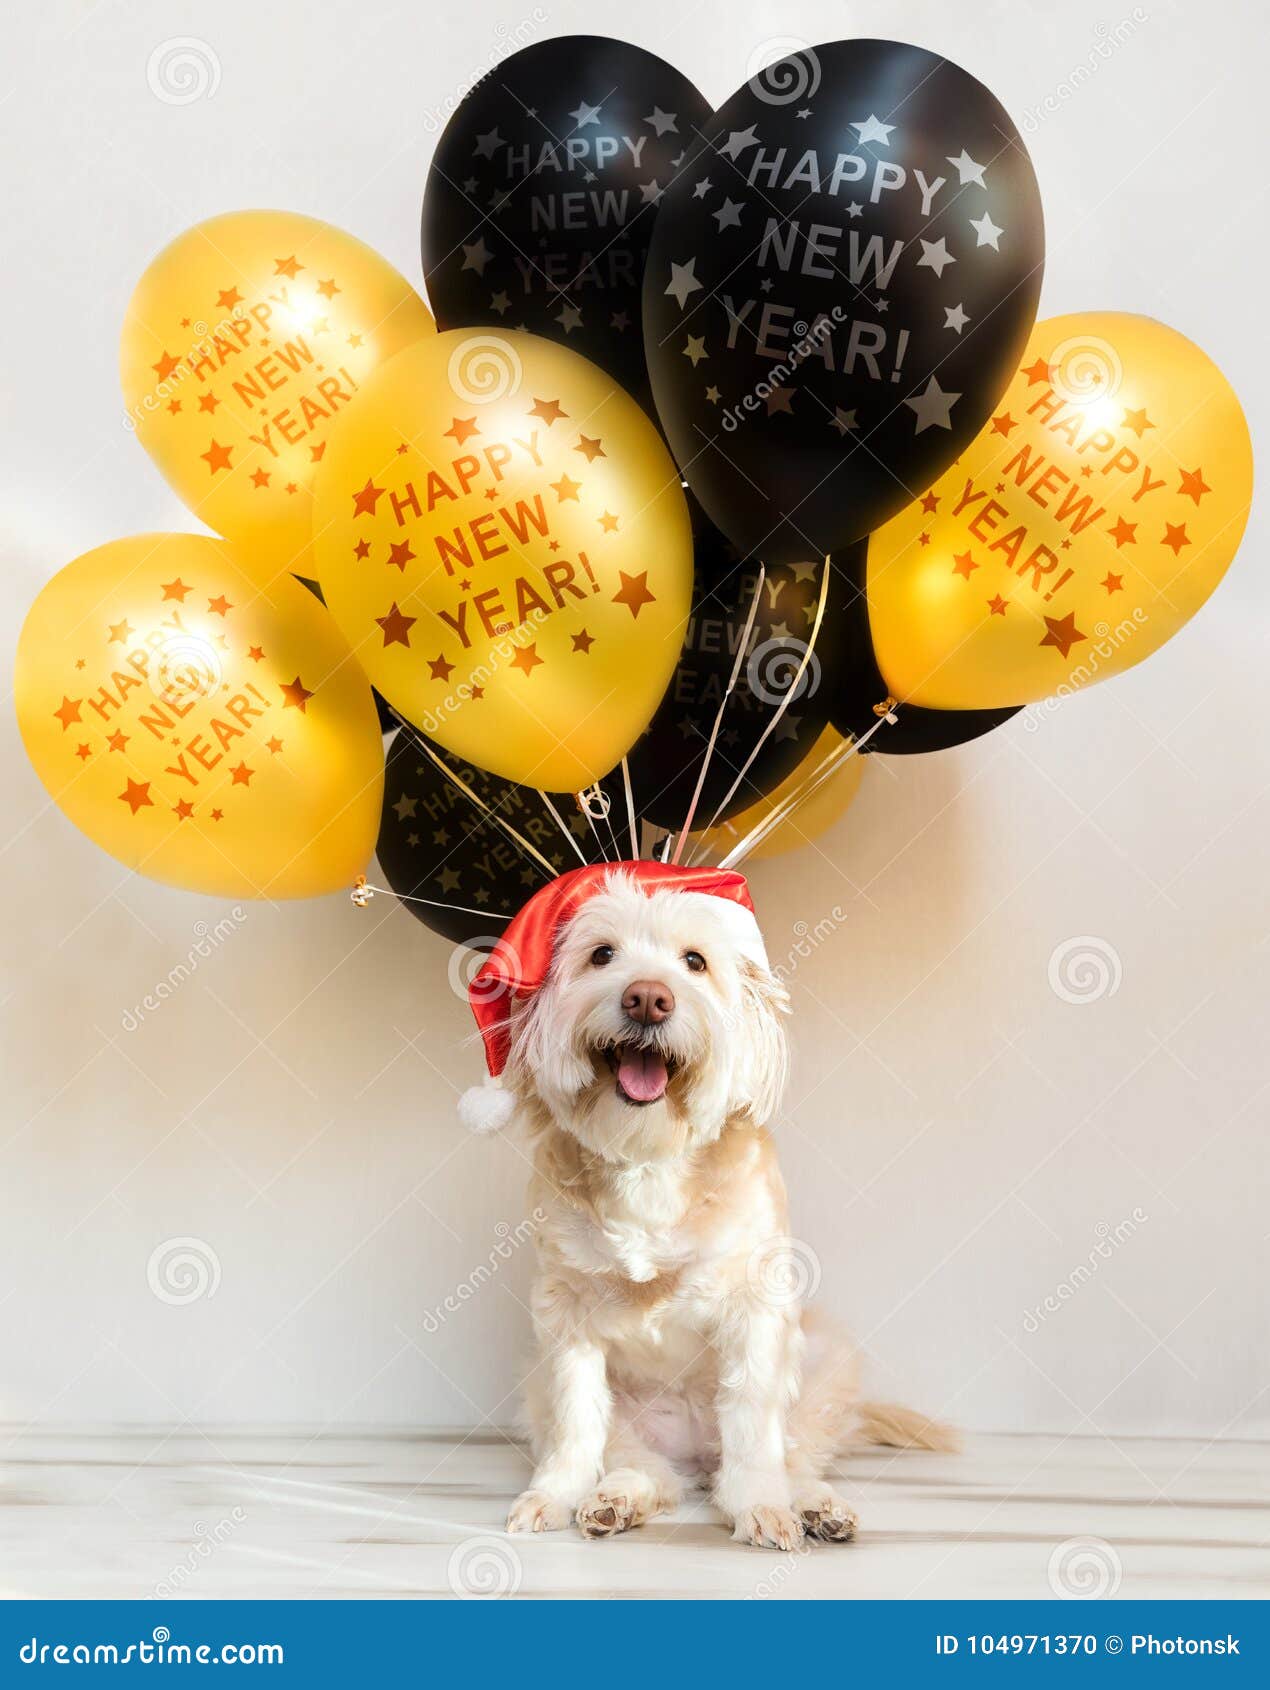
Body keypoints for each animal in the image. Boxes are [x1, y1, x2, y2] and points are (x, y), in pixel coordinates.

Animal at [480, 872, 947, 1548]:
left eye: (695, 962)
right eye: (601, 955)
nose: (648, 999)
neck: (650, 1159)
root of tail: (696, 1455)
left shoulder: (757, 1311)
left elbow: (753, 1431)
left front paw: (763, 1506)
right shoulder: (565, 1319)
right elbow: (575, 1425)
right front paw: (557, 1494)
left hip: (820, 1364)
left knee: (788, 1459)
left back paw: (813, 1505)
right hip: (572, 1400)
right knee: (645, 1469)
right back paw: (616, 1499)